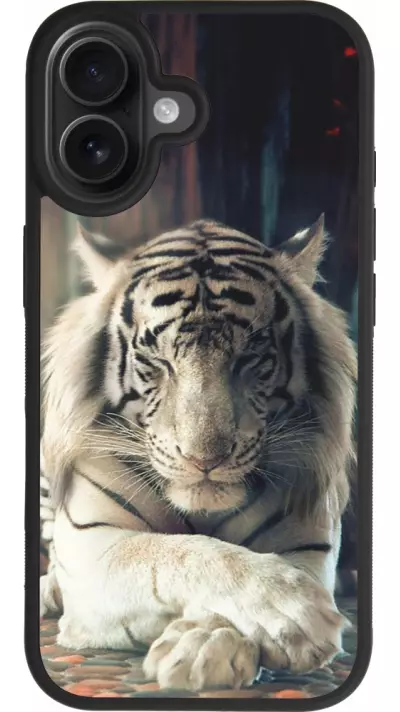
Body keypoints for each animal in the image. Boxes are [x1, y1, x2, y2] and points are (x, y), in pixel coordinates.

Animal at [40, 216, 356, 691]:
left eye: (251, 357)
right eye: (157, 361)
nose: (204, 460)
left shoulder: (307, 542)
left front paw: (205, 646)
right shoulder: (92, 544)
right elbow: (180, 552)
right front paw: (294, 612)